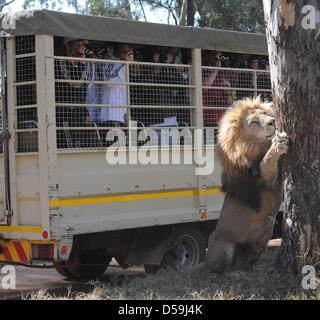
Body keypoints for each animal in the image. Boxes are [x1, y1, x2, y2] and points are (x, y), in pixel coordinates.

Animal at [204, 97, 288, 272]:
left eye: (265, 113)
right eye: (254, 122)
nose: (272, 122)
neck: (257, 145)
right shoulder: (263, 176)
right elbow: (267, 160)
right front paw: (277, 144)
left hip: (258, 246)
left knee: (242, 263)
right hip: (224, 246)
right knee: (219, 269)